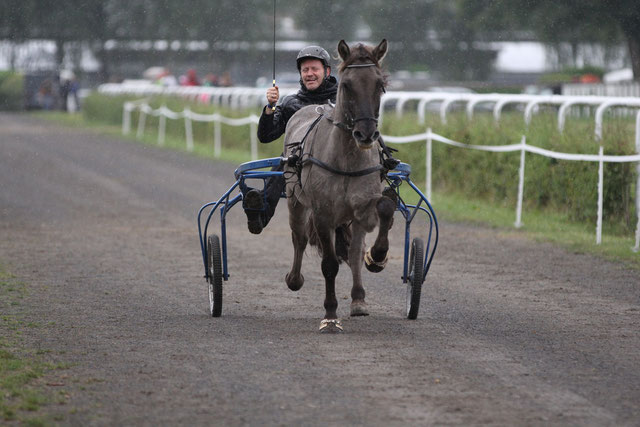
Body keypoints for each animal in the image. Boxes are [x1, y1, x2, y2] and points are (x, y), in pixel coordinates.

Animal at [282, 40, 396, 332]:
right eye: (347, 85)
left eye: (380, 85)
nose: (366, 134)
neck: (346, 159)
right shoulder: (323, 214)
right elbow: (329, 264)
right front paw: (330, 315)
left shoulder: (363, 205)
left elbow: (384, 208)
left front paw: (377, 255)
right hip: (295, 200)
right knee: (299, 237)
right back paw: (294, 278)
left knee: (354, 251)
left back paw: (358, 299)